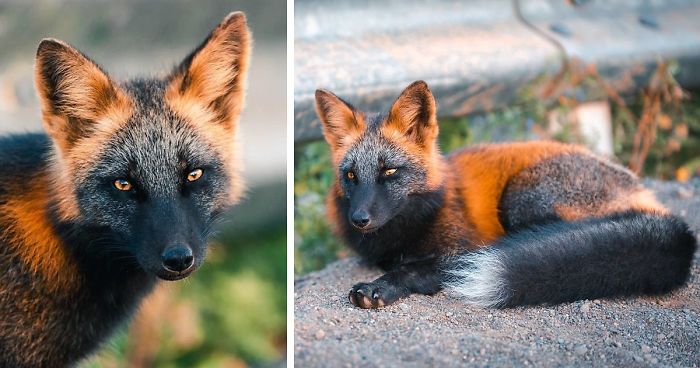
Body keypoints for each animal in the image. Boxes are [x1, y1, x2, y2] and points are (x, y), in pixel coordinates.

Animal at [318, 81, 700, 310]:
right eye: (351, 175)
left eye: (389, 172)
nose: (359, 219)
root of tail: (648, 197)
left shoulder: (461, 250)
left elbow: (410, 271)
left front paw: (380, 287)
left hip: (520, 198)